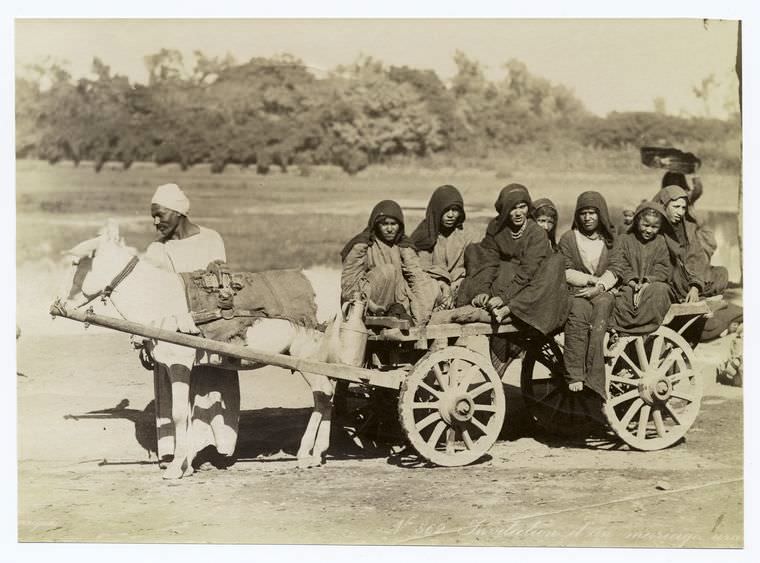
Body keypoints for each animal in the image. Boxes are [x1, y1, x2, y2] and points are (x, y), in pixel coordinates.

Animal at [58, 223, 342, 478]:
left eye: (75, 264)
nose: (59, 303)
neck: (157, 298)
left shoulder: (179, 363)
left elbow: (179, 414)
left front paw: (175, 470)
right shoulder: (177, 366)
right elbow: (184, 413)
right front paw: (185, 465)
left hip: (308, 357)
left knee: (323, 395)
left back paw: (308, 454)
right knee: (328, 396)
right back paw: (317, 454)